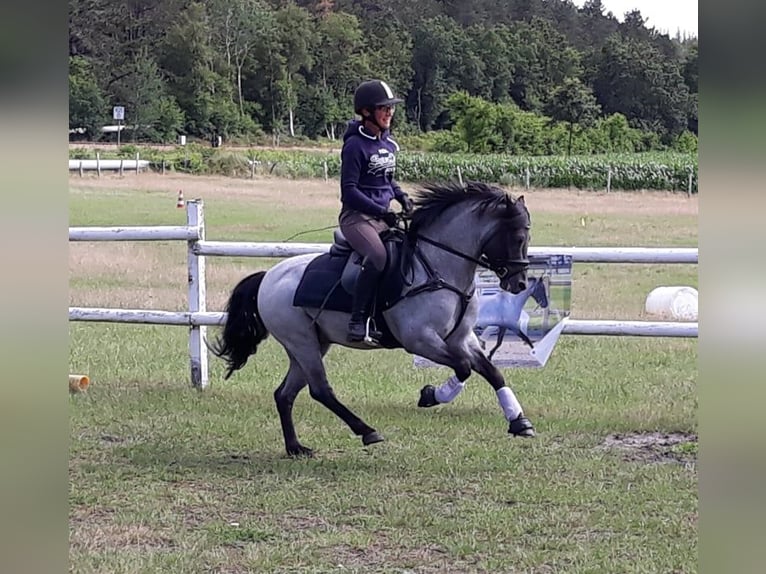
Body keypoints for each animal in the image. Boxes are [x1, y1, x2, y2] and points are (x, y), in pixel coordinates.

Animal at [208, 181, 536, 460]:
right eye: (518, 237)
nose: (519, 283)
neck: (439, 266)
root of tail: (268, 277)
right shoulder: (420, 340)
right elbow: (464, 368)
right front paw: (431, 395)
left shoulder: (461, 338)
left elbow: (492, 372)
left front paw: (519, 422)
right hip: (302, 343)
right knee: (320, 390)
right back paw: (367, 431)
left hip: (312, 344)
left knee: (285, 394)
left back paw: (295, 448)